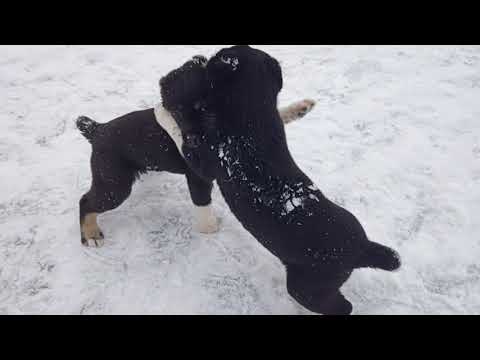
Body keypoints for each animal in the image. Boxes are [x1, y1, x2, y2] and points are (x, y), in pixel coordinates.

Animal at [76, 55, 316, 248]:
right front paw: (209, 227)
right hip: (114, 186)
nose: (193, 137)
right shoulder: (199, 172)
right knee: (86, 201)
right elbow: (202, 202)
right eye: (178, 111)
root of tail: (97, 129)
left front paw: (300, 108)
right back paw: (91, 235)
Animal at [161, 45, 402, 316]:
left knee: (343, 307)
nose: (201, 57)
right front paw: (300, 107)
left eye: (218, 57)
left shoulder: (205, 163)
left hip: (306, 288)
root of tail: (363, 247)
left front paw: (162, 114)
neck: (253, 112)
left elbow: (179, 134)